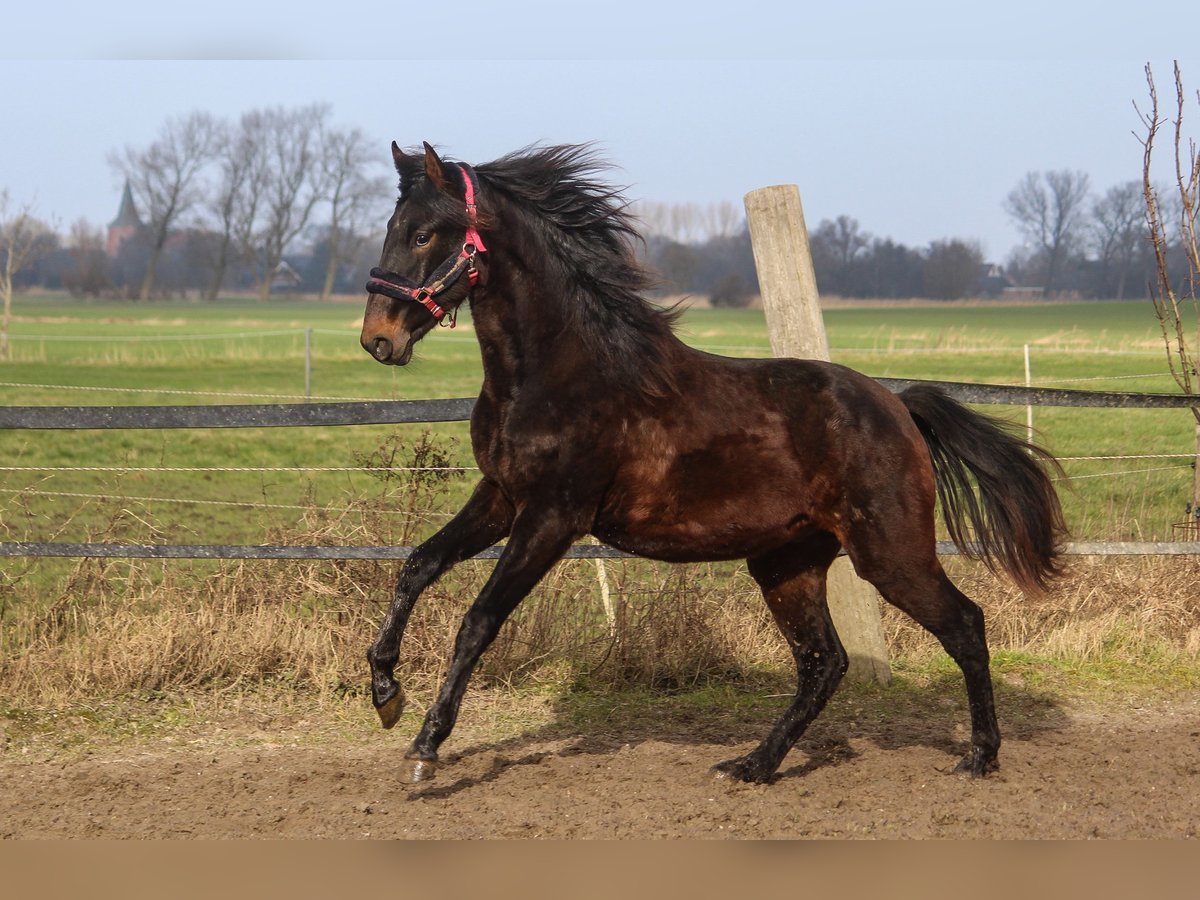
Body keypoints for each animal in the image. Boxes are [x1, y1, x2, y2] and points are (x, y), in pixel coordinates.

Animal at [357, 144, 1070, 787]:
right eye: (393, 228)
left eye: (424, 233)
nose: (378, 339)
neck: (558, 374)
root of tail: (897, 405)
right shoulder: (502, 496)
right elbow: (418, 565)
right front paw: (386, 693)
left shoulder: (554, 515)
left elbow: (478, 619)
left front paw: (424, 748)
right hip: (787, 562)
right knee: (824, 663)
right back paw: (752, 765)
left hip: (890, 552)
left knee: (963, 626)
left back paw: (979, 757)